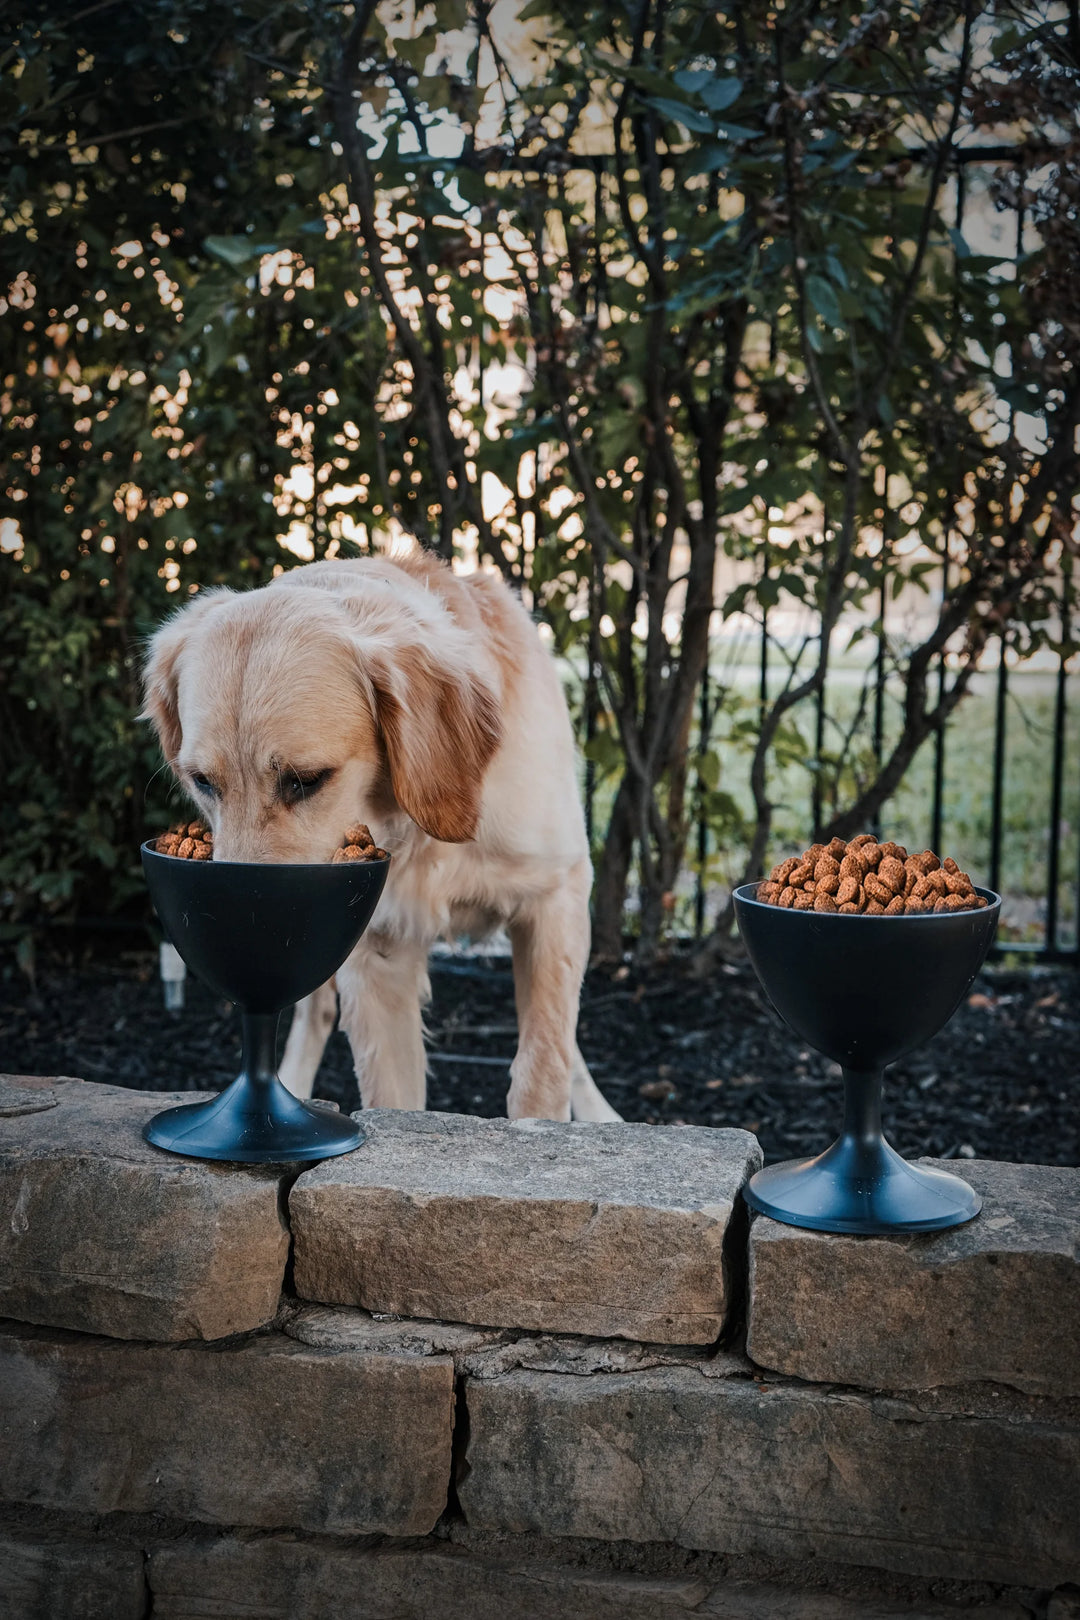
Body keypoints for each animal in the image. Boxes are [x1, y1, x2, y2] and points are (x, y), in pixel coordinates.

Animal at [139, 550, 621, 1121]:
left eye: (306, 780)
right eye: (202, 782)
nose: (241, 938)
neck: (421, 835)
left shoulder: (556, 896)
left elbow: (544, 1066)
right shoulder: (376, 951)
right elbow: (393, 1096)